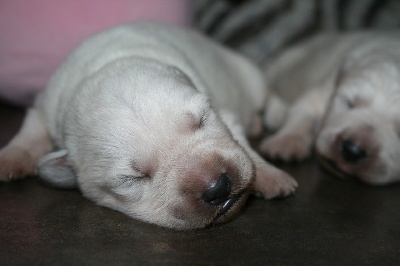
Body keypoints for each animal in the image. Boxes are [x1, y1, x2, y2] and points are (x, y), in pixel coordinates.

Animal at [0, 22, 296, 230]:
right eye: (133, 179)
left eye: (202, 119)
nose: (218, 188)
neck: (108, 63)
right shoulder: (44, 107)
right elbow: (29, 133)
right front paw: (10, 159)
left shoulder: (224, 112)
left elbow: (243, 146)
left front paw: (271, 176)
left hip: (249, 76)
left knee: (269, 96)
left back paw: (275, 118)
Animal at [260, 32, 400, 185]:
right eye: (350, 103)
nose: (352, 151)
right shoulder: (325, 89)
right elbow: (303, 112)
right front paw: (286, 143)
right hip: (283, 62)